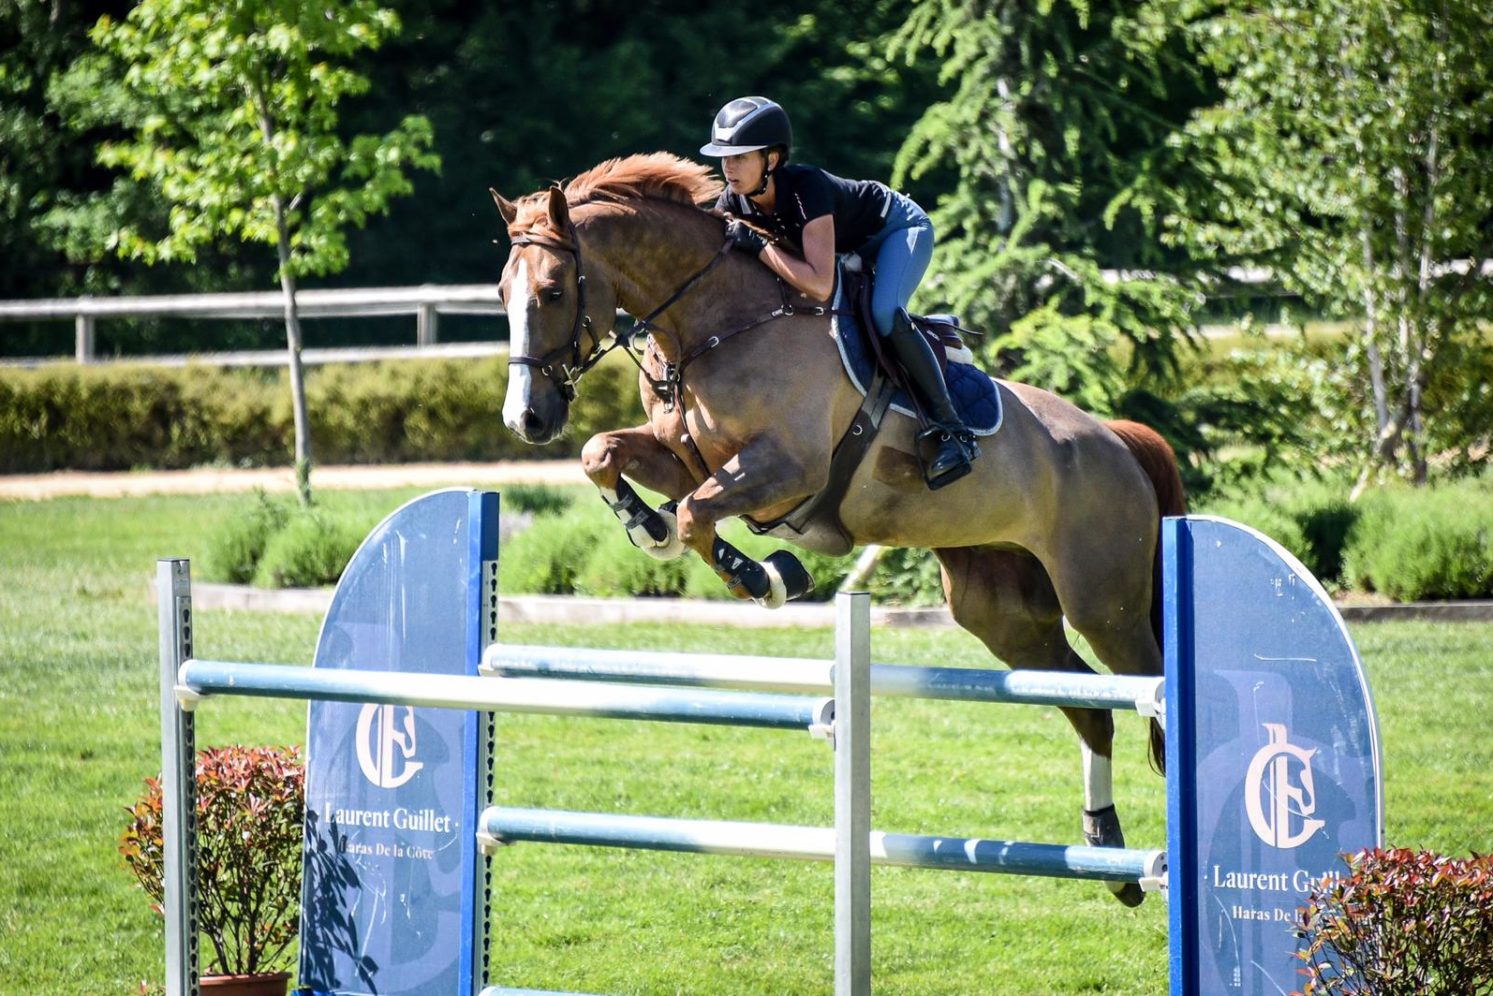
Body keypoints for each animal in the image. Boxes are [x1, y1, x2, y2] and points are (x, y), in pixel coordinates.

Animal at [490, 152, 1186, 907]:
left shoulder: (788, 469)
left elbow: (700, 514)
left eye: (553, 290)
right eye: (501, 293)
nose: (525, 420)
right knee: (1089, 707)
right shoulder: (687, 457)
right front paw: (650, 528)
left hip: (1103, 604)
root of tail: (1114, 439)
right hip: (1002, 612)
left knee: (1149, 696)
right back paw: (1107, 849)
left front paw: (767, 577)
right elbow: (607, 457)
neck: (715, 324)